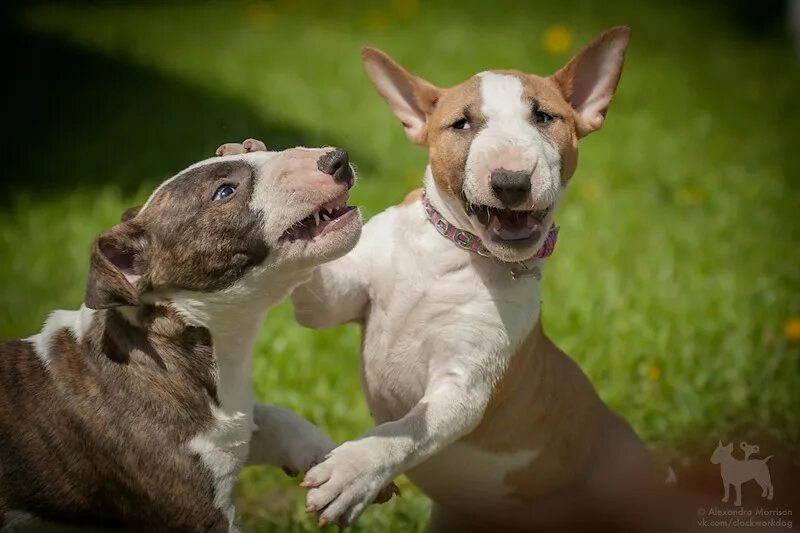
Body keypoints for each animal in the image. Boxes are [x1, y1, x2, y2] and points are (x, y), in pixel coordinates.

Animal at [0, 139, 362, 528]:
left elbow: (271, 417)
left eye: (255, 148)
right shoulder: (198, 511)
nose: (337, 160)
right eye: (224, 192)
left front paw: (338, 468)